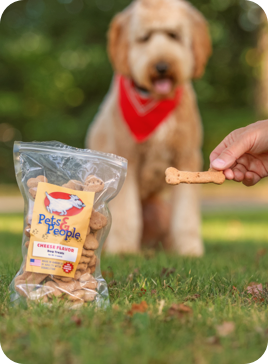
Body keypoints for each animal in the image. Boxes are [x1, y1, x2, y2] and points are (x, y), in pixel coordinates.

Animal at [86, 0, 211, 256]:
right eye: (144, 38)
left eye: (174, 35)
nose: (162, 66)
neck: (154, 100)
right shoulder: (127, 158)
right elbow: (126, 213)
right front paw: (123, 248)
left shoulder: (186, 157)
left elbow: (186, 214)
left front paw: (189, 249)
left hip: (160, 210)